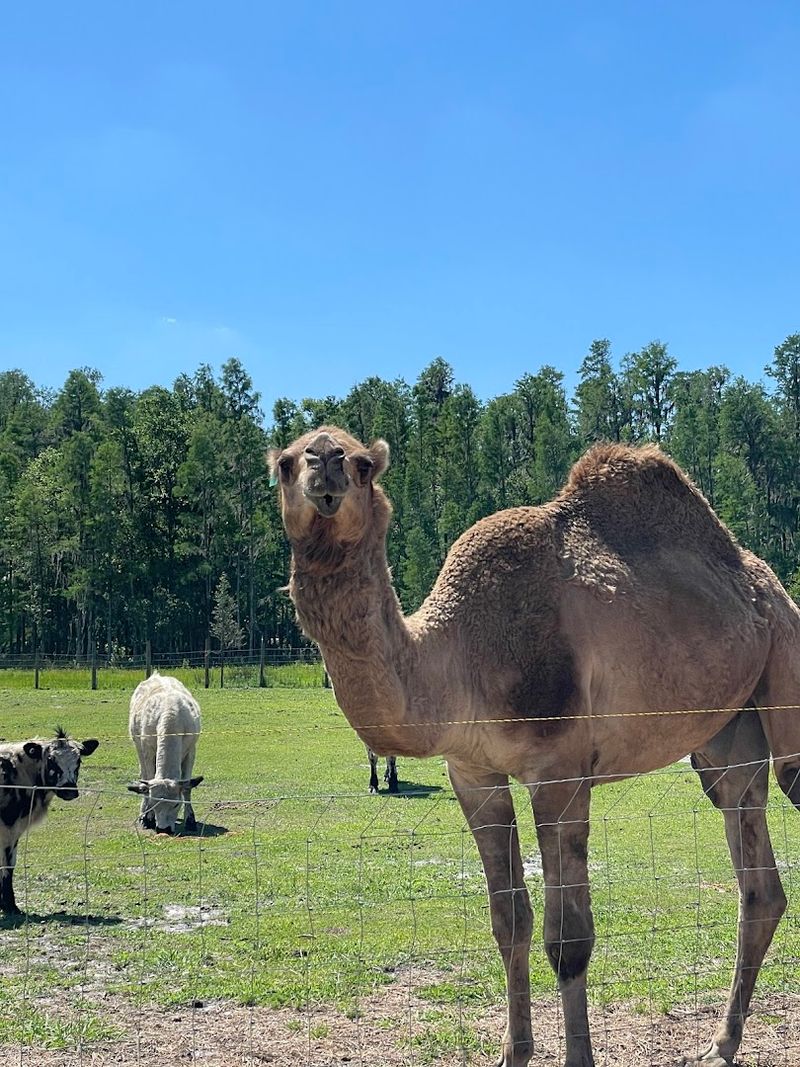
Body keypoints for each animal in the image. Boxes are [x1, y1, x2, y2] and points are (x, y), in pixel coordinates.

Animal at [269, 426, 800, 1067]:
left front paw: (577, 1057)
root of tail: (771, 588)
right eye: (285, 462)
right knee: (758, 882)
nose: (324, 464)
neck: (459, 654)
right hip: (726, 742)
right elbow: (509, 922)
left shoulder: (560, 774)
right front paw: (513, 1051)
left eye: (363, 464)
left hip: (787, 679)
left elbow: (568, 938)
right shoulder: (473, 774)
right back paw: (720, 1044)